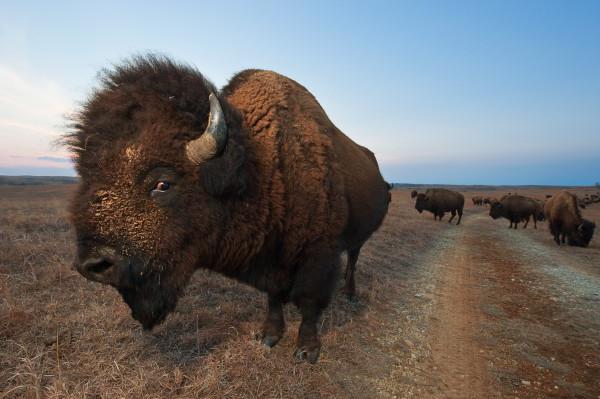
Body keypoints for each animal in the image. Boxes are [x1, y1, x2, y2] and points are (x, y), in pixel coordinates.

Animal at [63, 57, 390, 366]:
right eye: (86, 177)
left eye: (163, 183)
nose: (93, 265)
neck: (262, 166)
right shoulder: (272, 261)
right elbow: (274, 296)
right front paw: (268, 336)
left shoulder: (319, 255)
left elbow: (310, 303)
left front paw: (307, 350)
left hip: (358, 238)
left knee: (353, 259)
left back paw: (350, 293)